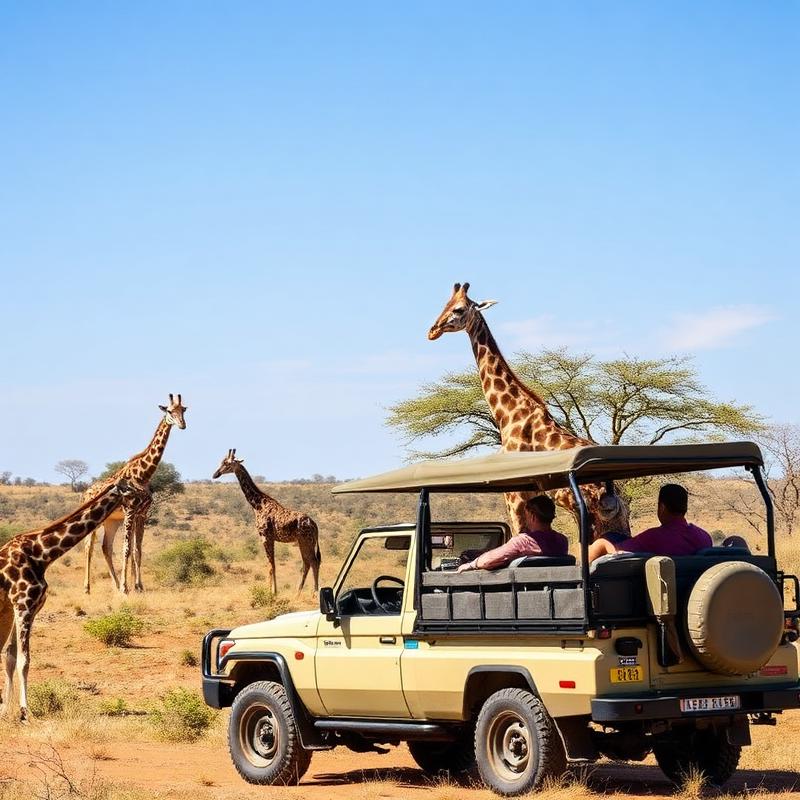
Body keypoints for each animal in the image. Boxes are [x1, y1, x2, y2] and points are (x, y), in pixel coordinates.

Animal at [0, 480, 136, 721]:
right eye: (131, 489)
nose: (143, 500)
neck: (42, 554)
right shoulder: (24, 604)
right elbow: (24, 660)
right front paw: (26, 712)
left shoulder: (23, 606)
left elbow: (11, 656)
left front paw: (7, 711)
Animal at [83, 394, 187, 595]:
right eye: (170, 411)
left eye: (184, 410)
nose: (182, 425)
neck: (143, 474)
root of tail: (83, 495)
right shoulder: (130, 511)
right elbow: (126, 549)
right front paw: (126, 588)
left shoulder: (142, 514)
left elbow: (137, 550)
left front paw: (137, 586)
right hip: (93, 521)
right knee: (88, 548)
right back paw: (87, 588)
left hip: (111, 521)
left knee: (105, 547)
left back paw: (115, 585)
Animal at [212, 449, 322, 595]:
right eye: (221, 462)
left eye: (227, 464)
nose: (215, 474)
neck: (257, 504)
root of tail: (314, 525)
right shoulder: (271, 538)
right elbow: (273, 564)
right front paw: (274, 591)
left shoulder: (265, 536)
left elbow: (270, 565)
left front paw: (271, 593)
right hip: (303, 541)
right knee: (307, 563)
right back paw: (297, 593)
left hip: (306, 541)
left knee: (313, 562)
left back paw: (314, 593)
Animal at [428, 282, 624, 537]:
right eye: (445, 304)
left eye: (459, 309)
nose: (432, 331)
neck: (507, 414)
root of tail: (613, 494)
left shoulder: (515, 495)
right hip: (618, 517)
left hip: (590, 514)